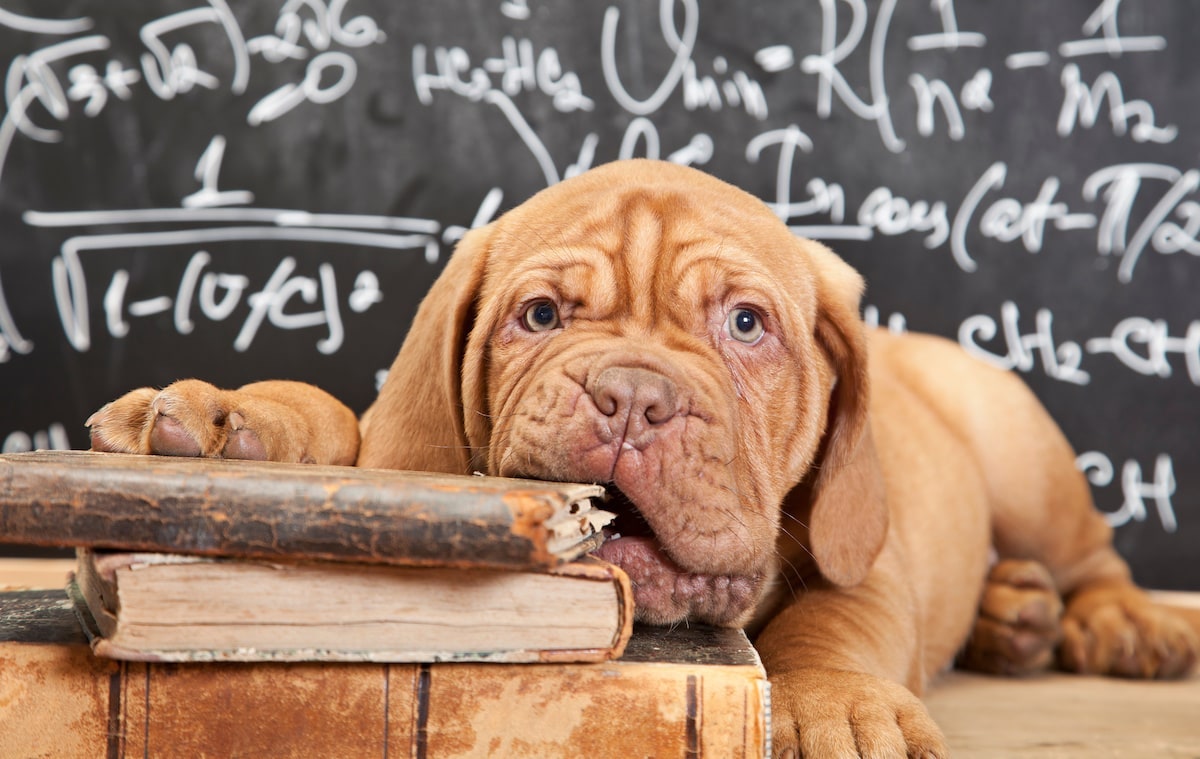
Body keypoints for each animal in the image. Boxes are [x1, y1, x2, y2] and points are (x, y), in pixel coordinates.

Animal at [88, 158, 1195, 754]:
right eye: (540, 315)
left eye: (746, 324)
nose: (631, 397)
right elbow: (339, 425)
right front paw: (218, 420)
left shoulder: (867, 557)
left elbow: (835, 618)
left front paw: (832, 707)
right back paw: (1014, 615)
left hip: (1020, 444)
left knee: (1092, 554)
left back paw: (1114, 621)